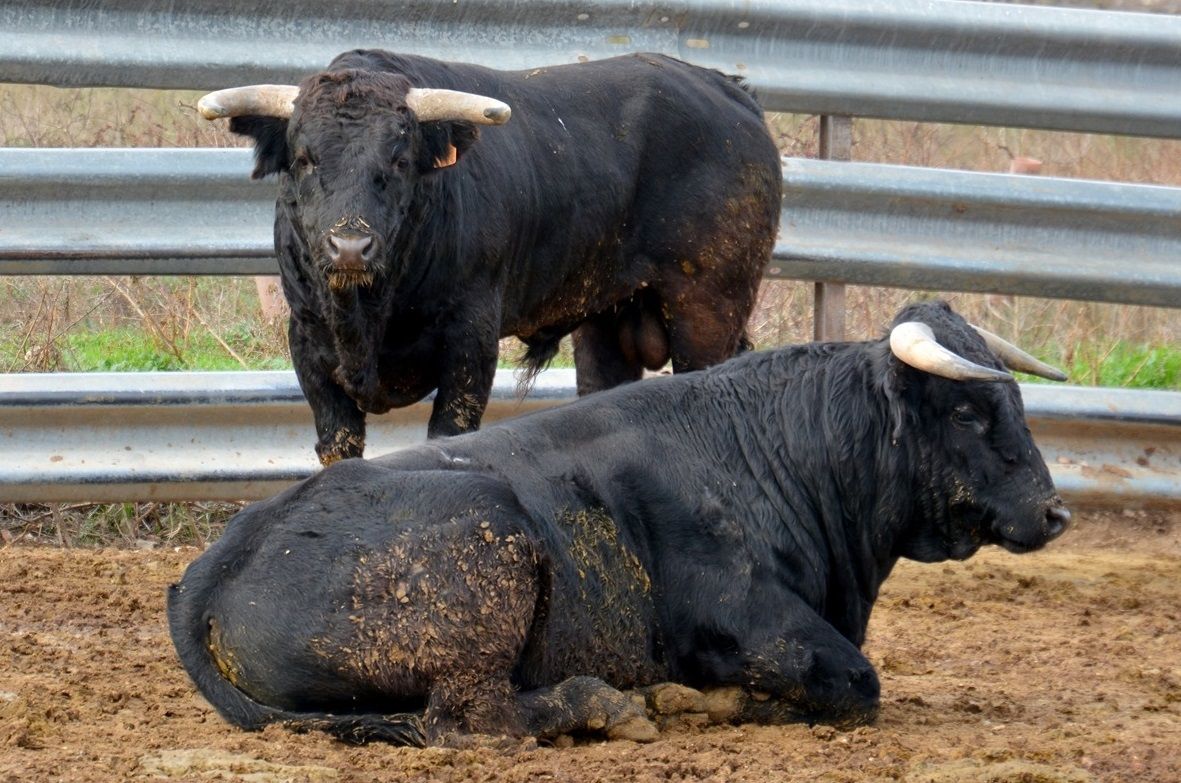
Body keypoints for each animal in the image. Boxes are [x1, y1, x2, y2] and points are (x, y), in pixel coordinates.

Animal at [168, 301, 1081, 746]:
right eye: (966, 411)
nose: (1053, 508)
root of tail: (224, 555)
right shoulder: (751, 622)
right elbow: (853, 680)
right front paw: (717, 702)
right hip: (485, 553)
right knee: (470, 720)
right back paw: (616, 704)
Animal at [198, 50, 779, 465]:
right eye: (303, 158)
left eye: (400, 158)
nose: (350, 247)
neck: (368, 315)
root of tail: (727, 89)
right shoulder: (309, 347)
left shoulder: (470, 342)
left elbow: (449, 434)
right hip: (607, 319)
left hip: (709, 310)